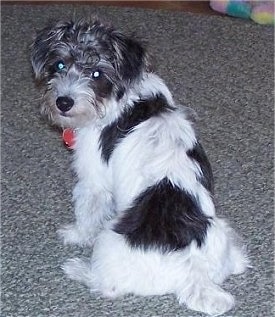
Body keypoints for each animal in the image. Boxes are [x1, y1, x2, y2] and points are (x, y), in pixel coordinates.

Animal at [30, 19, 250, 314]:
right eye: (60, 65)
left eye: (97, 73)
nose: (63, 102)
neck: (123, 96)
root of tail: (194, 273)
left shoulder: (93, 180)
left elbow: (86, 213)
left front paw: (75, 234)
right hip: (222, 229)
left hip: (108, 244)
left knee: (106, 285)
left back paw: (78, 269)